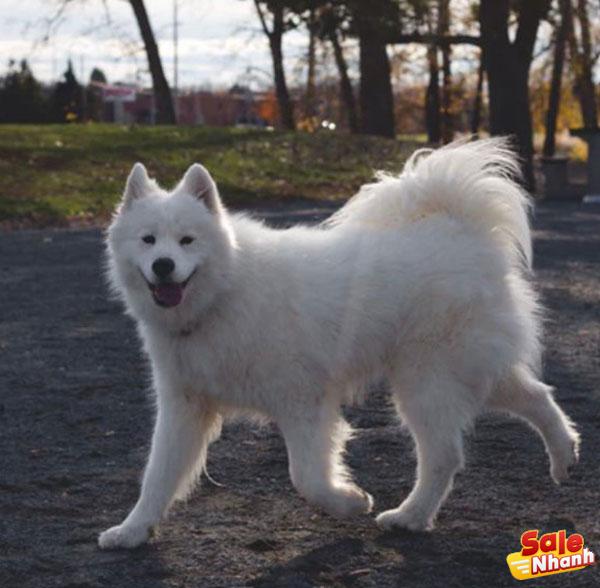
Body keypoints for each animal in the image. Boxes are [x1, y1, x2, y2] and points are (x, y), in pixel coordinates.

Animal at [99, 139, 580, 552]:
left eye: (187, 240)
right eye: (148, 239)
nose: (163, 265)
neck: (224, 293)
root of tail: (460, 228)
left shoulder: (303, 401)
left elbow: (306, 477)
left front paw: (349, 502)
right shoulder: (184, 407)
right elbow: (157, 476)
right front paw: (132, 531)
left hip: (427, 379)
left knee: (444, 455)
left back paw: (409, 516)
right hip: (466, 370)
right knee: (536, 395)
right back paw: (564, 456)